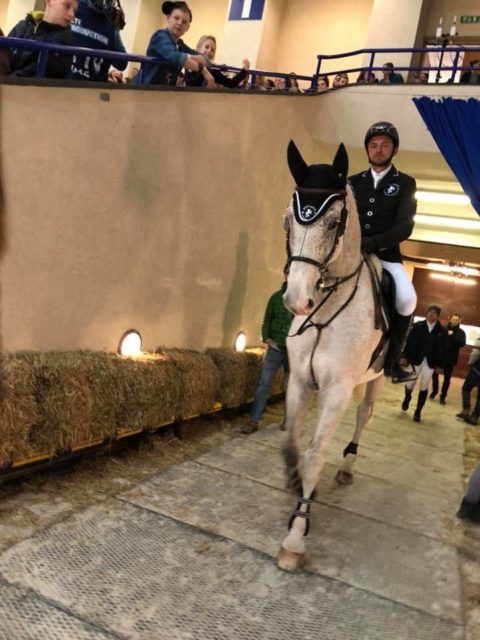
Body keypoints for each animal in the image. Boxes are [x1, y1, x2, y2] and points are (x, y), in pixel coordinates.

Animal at [278, 140, 386, 568]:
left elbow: (313, 456)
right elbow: (291, 444)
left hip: (374, 381)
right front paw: (294, 483)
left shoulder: (338, 389)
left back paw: (347, 466)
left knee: (363, 415)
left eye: (334, 221)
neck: (325, 310)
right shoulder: (300, 380)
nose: (296, 300)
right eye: (288, 221)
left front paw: (296, 536)